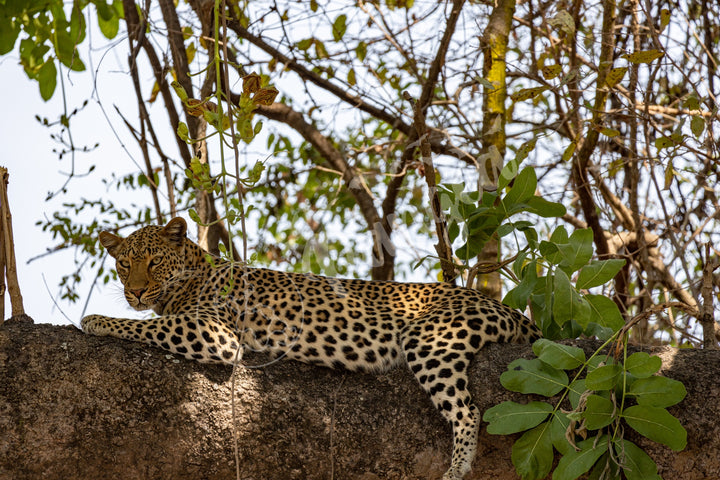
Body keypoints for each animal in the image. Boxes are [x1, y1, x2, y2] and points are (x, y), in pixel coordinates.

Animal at [80, 218, 540, 480]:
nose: (136, 291)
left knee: (468, 410)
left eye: (153, 262)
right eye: (124, 263)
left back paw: (458, 465)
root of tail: (510, 309)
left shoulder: (214, 330)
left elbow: (150, 325)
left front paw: (95, 320)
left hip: (432, 339)